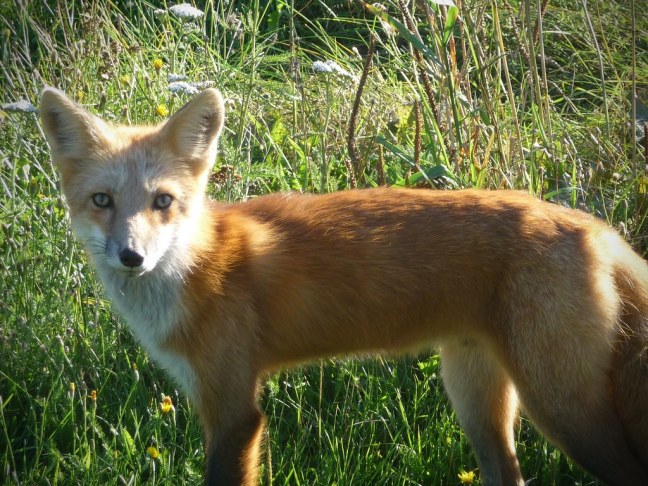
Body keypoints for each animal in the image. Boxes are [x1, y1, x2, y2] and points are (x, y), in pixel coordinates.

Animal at [40, 86, 648, 485]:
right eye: (102, 201)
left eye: (162, 201)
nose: (132, 257)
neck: (199, 268)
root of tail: (594, 226)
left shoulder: (235, 411)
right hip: (476, 399)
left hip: (563, 407)